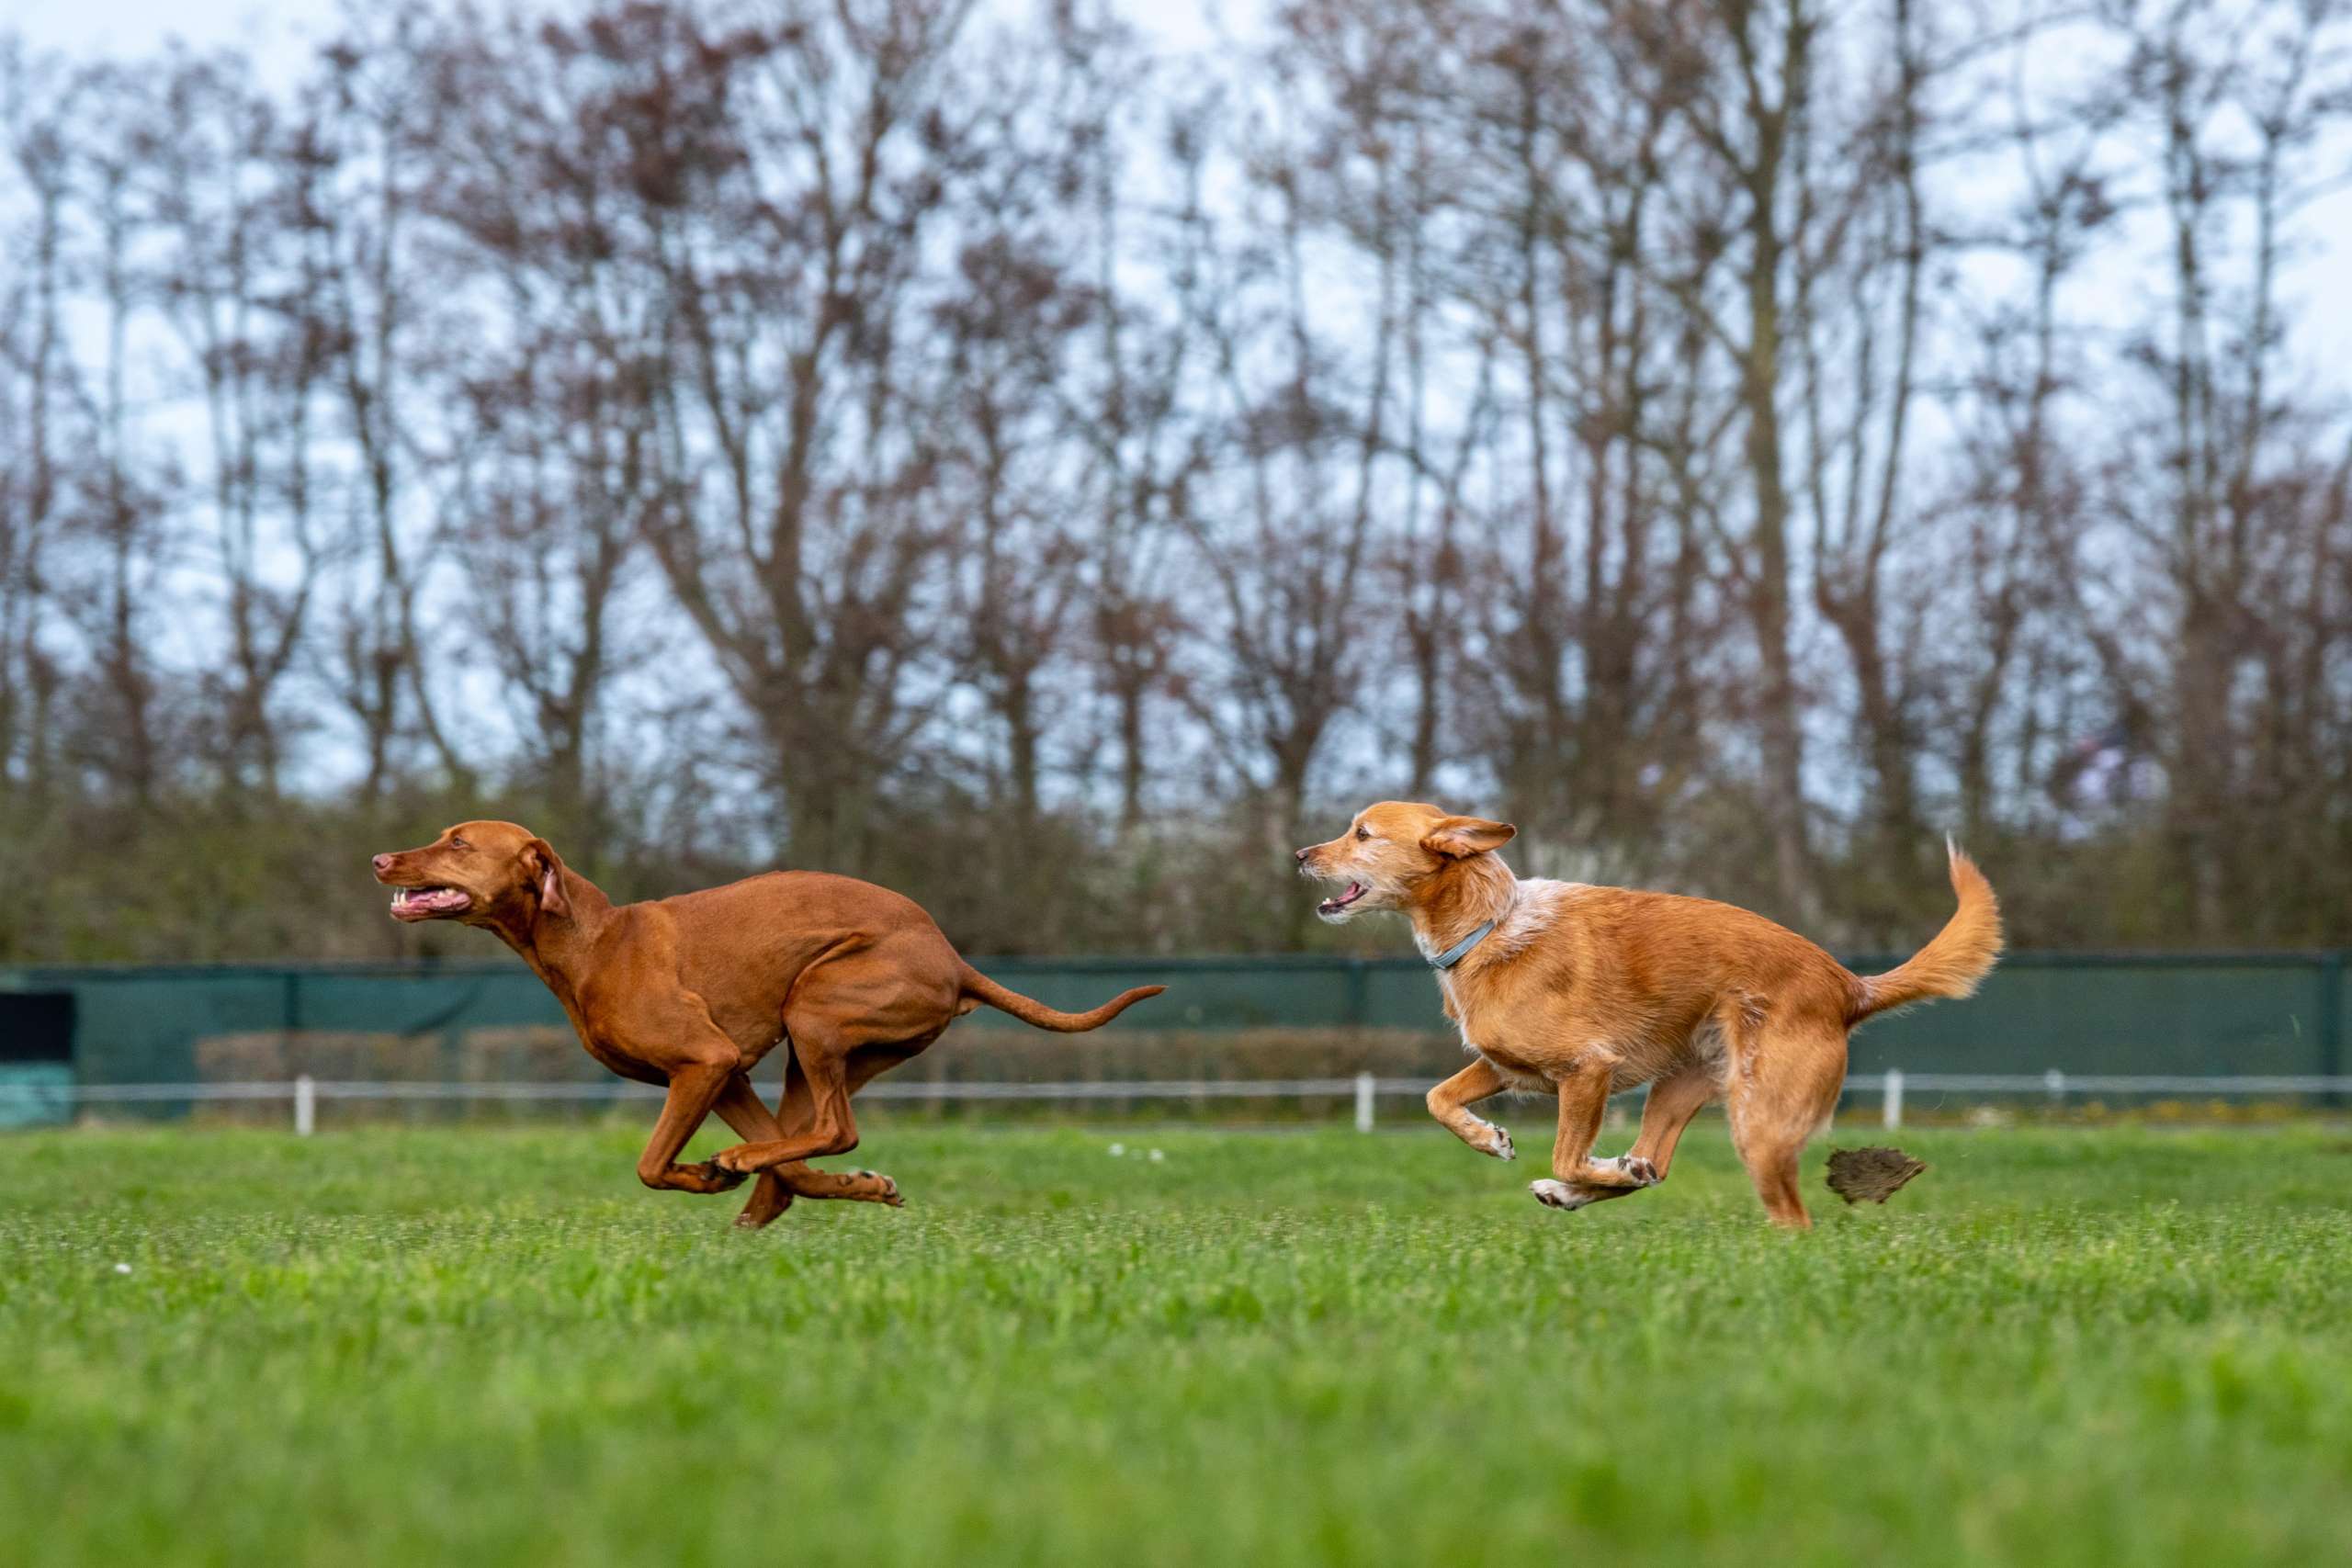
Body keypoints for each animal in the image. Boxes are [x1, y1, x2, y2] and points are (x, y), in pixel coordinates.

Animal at [368, 822, 1166, 1222]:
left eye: (458, 842)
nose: (379, 858)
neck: (594, 940)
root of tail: (953, 956)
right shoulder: (725, 1075)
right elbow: (780, 1163)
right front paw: (746, 1179)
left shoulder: (704, 1061)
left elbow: (651, 1164)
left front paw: (704, 1171)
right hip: (817, 1053)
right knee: (801, 1151)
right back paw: (806, 1192)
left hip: (813, 1006)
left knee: (836, 1130)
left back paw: (745, 1171)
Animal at [1298, 808, 1994, 1222]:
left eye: (1362, 834)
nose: (1301, 855)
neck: (1492, 924)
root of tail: (1849, 985)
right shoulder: (1506, 1067)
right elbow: (1437, 1098)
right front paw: (1490, 1138)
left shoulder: (1587, 1070)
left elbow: (1568, 1154)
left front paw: (1585, 1171)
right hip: (1679, 1084)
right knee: (1656, 1160)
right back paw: (1600, 1182)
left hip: (1761, 1119)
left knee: (1788, 1217)